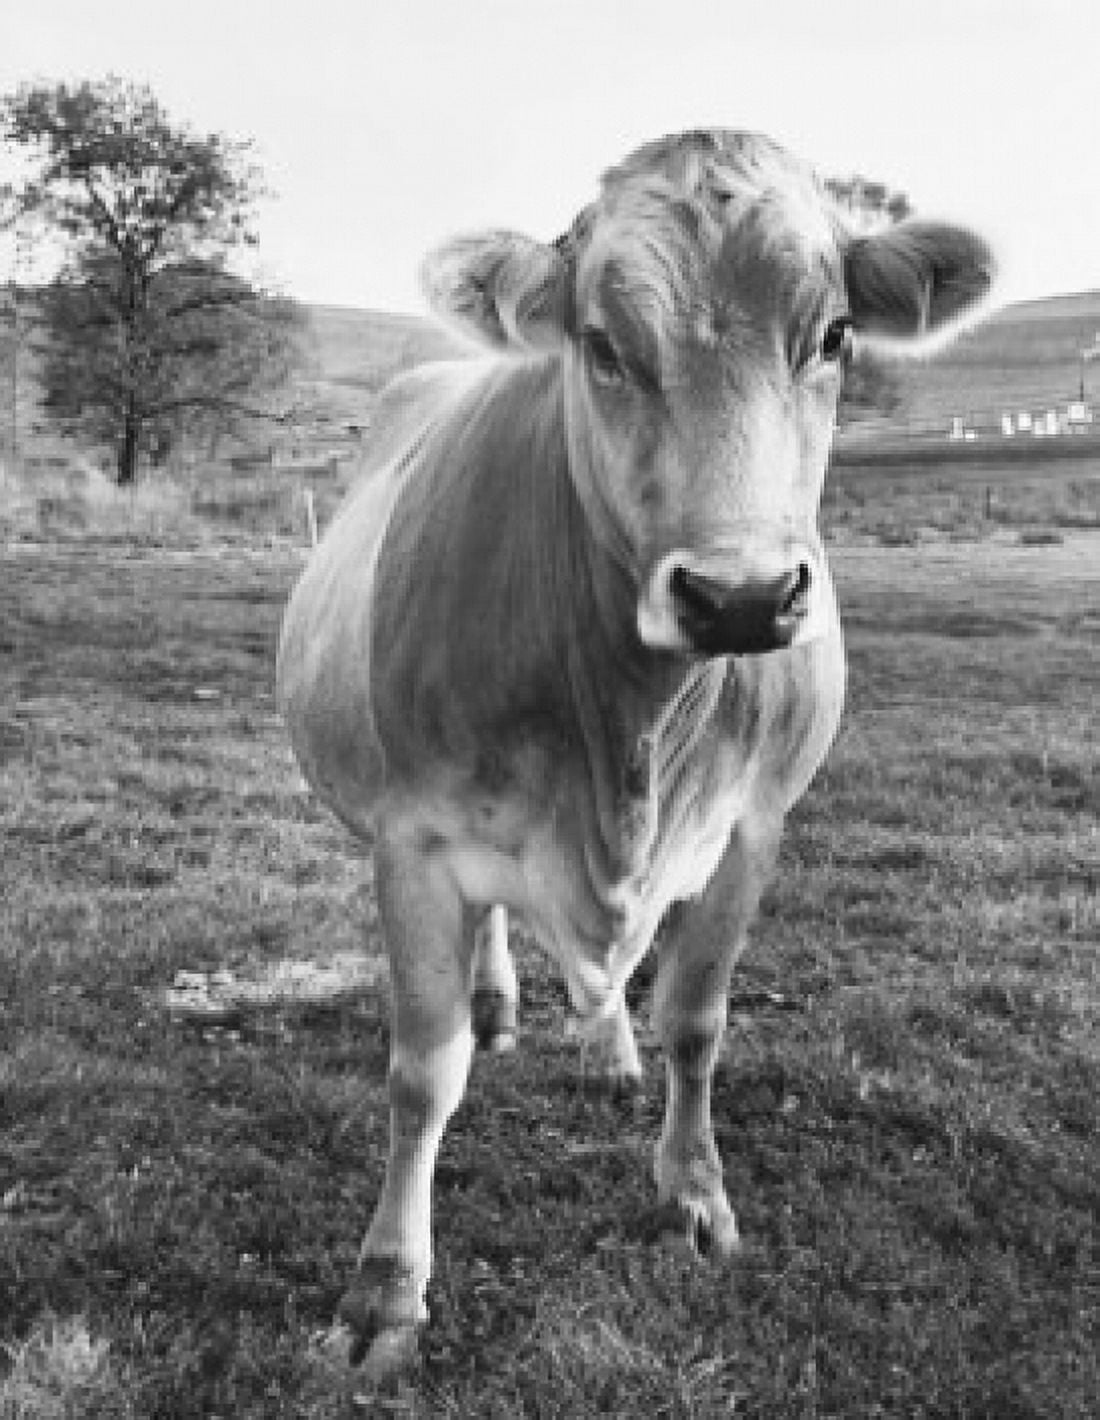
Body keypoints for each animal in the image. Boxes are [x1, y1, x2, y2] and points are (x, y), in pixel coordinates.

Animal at [276, 128, 994, 1384]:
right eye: (601, 344)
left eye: (834, 335)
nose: (740, 593)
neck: (630, 735)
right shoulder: (412, 840)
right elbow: (423, 1073)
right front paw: (385, 1288)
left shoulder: (753, 826)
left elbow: (696, 1021)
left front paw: (693, 1197)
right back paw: (501, 1002)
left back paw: (603, 1040)